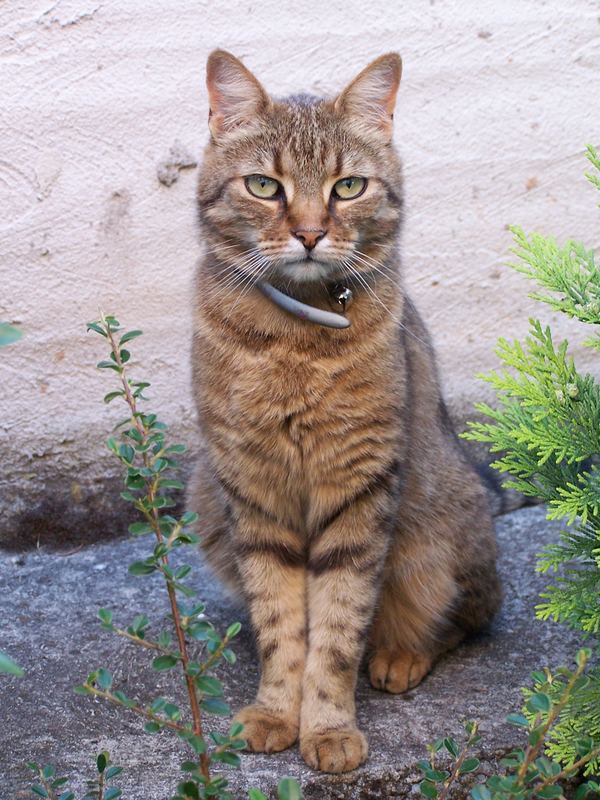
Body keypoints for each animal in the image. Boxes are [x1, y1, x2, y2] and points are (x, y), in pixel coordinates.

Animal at [189, 50, 502, 776]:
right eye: (264, 186)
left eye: (349, 186)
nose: (309, 233)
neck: (294, 341)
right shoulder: (252, 491)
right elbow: (282, 624)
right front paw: (277, 711)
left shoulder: (360, 489)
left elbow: (336, 628)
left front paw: (328, 726)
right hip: (206, 499)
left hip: (436, 531)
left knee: (469, 615)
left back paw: (400, 653)